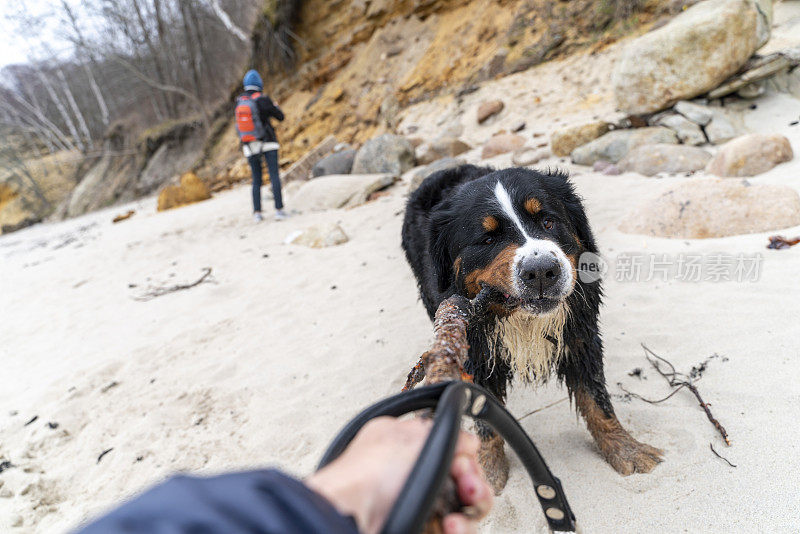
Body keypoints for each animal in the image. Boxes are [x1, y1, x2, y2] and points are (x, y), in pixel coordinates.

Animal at [404, 165, 660, 492]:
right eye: (487, 239)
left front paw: (626, 449)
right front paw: (489, 471)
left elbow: (597, 401)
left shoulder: (581, 338)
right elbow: (486, 422)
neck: (519, 319)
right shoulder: (475, 353)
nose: (541, 271)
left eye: (548, 222)